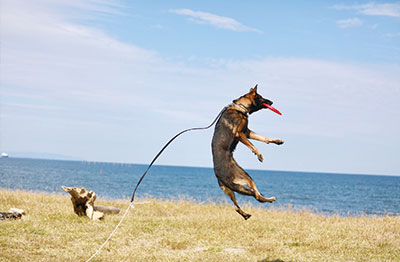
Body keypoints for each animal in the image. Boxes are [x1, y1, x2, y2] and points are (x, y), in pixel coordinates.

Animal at [212, 85, 284, 219]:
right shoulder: (239, 133)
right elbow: (253, 145)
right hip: (246, 178)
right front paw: (258, 154)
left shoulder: (247, 132)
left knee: (237, 206)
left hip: (229, 190)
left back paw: (245, 215)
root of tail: (220, 176)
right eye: (261, 97)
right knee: (257, 196)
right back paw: (270, 199)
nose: (272, 102)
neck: (241, 107)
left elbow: (263, 138)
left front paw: (276, 141)